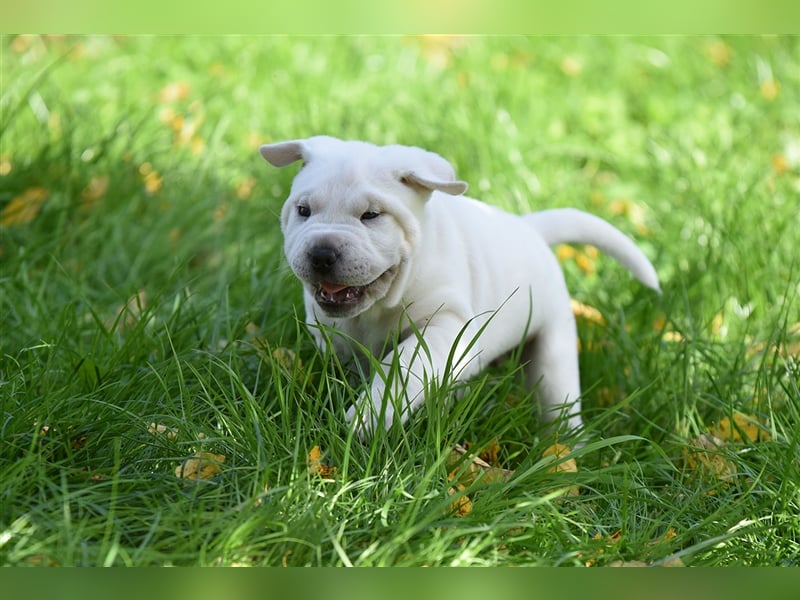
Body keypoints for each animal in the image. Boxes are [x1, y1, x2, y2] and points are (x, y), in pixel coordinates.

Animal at [260, 135, 660, 436]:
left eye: (372, 216)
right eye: (303, 211)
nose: (321, 253)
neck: (381, 304)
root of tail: (529, 227)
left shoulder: (446, 325)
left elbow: (402, 365)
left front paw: (367, 417)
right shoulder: (327, 327)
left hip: (554, 349)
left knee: (557, 399)